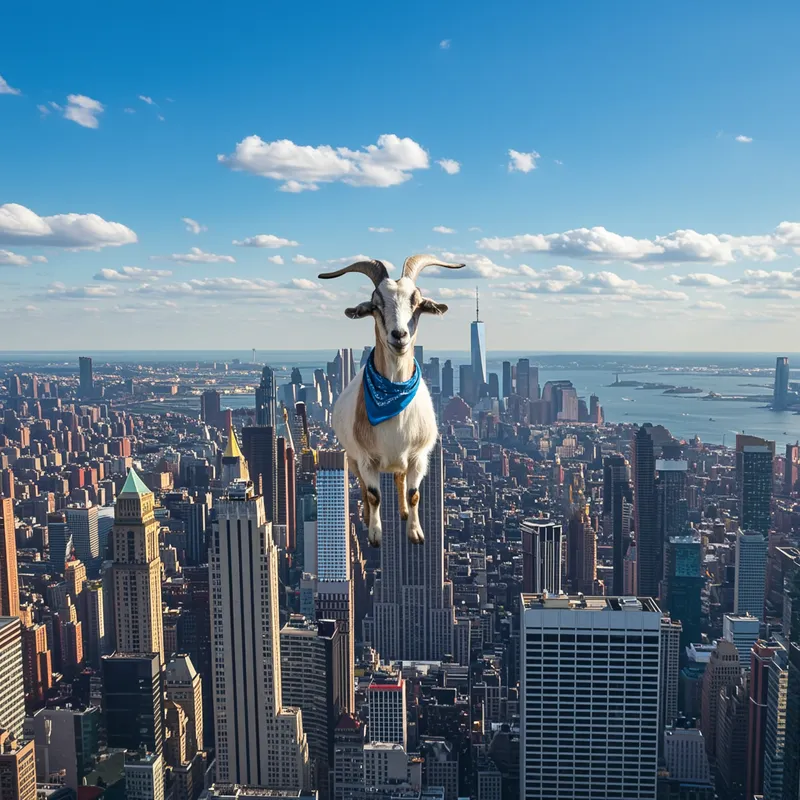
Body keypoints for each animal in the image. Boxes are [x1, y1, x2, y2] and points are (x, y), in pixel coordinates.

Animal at [319, 254, 465, 547]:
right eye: (376, 305)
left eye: (417, 303)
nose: (399, 335)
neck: (392, 397)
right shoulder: (366, 458)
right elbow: (373, 494)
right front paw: (375, 535)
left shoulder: (420, 456)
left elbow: (414, 493)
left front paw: (415, 532)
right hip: (351, 456)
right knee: (364, 486)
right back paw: (367, 517)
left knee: (399, 477)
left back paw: (404, 512)